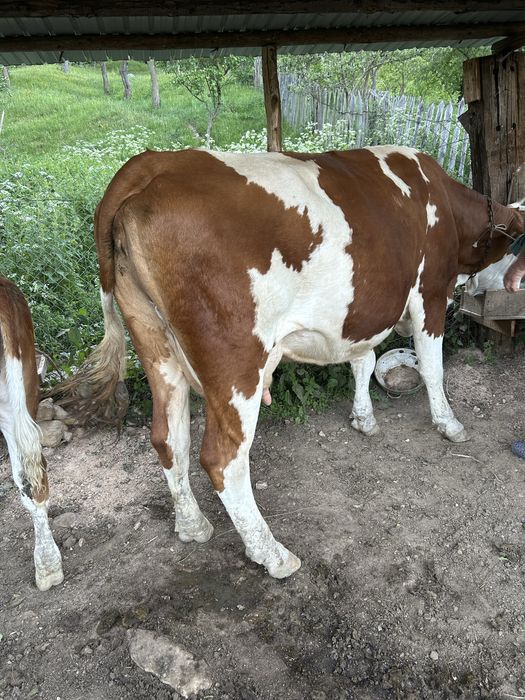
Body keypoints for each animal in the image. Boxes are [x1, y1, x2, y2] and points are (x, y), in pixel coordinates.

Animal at [56, 146, 523, 579]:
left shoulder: (361, 311)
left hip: (155, 344)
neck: (445, 202)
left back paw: (192, 525)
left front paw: (363, 417)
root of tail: (150, 165)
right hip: (236, 363)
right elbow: (431, 365)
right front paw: (449, 423)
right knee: (223, 458)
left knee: (169, 437)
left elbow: (364, 359)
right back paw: (272, 553)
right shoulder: (430, 291)